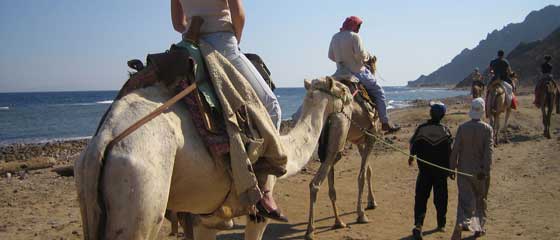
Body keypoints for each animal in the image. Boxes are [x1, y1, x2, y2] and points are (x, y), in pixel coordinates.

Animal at [73, 77, 354, 240]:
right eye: (343, 91)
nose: (353, 99)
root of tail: (103, 140)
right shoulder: (259, 215)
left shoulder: (207, 218)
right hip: (139, 197)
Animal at [304, 91, 382, 239]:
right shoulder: (372, 136)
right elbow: (362, 176)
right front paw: (361, 214)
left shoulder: (360, 141)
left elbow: (368, 171)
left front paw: (372, 202)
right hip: (338, 140)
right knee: (315, 183)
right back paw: (310, 231)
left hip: (331, 146)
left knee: (330, 185)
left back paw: (338, 222)